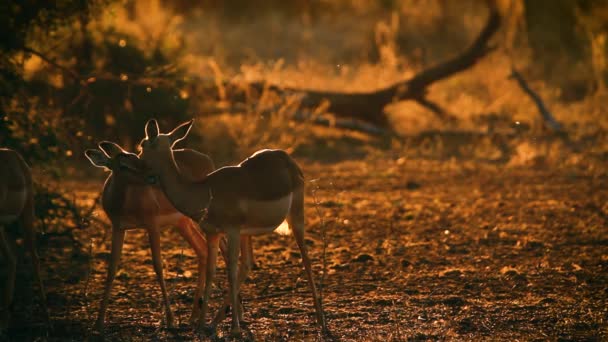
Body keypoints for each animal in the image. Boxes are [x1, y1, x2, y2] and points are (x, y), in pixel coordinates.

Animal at [138, 119, 328, 336]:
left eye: (143, 144)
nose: (134, 164)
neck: (205, 192)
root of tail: (287, 158)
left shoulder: (232, 230)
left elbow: (231, 271)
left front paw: (234, 329)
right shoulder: (212, 233)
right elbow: (212, 271)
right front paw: (201, 325)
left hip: (296, 218)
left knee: (306, 260)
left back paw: (321, 321)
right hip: (248, 233)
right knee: (248, 263)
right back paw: (214, 322)